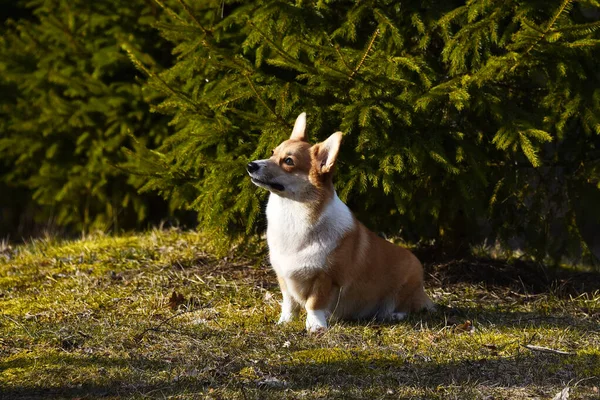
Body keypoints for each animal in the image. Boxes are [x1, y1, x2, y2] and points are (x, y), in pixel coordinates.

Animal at [246, 112, 434, 332]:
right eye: (273, 152)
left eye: (289, 161)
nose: (250, 165)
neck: (293, 213)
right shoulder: (283, 276)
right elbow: (289, 302)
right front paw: (285, 321)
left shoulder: (325, 277)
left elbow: (314, 304)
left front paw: (315, 326)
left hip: (406, 285)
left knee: (409, 307)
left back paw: (394, 315)